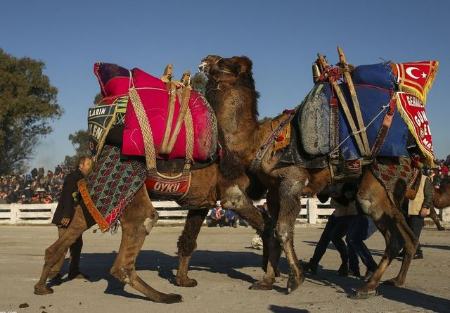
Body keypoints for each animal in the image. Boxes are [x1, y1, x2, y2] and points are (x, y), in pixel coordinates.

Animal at [198, 54, 426, 298]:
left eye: (224, 63)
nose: (205, 59)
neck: (256, 141)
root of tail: (413, 154)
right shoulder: (274, 190)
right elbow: (272, 230)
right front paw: (267, 280)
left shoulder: (292, 181)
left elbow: (282, 230)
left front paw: (295, 279)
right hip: (392, 195)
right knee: (407, 236)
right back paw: (396, 280)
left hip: (378, 185)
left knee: (391, 237)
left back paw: (368, 286)